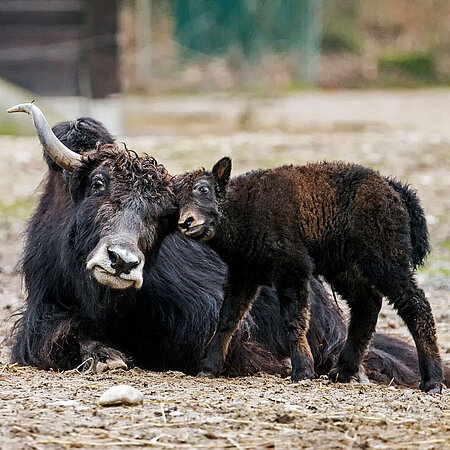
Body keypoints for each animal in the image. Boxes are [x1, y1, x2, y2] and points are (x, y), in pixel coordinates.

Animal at [176, 156, 442, 392]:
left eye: (203, 189)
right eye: (176, 200)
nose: (186, 222)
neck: (241, 204)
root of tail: (391, 187)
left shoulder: (292, 271)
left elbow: (294, 320)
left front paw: (303, 372)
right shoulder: (243, 276)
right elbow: (228, 319)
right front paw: (208, 368)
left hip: (385, 263)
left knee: (415, 305)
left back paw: (432, 382)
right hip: (345, 270)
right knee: (367, 306)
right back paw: (341, 372)